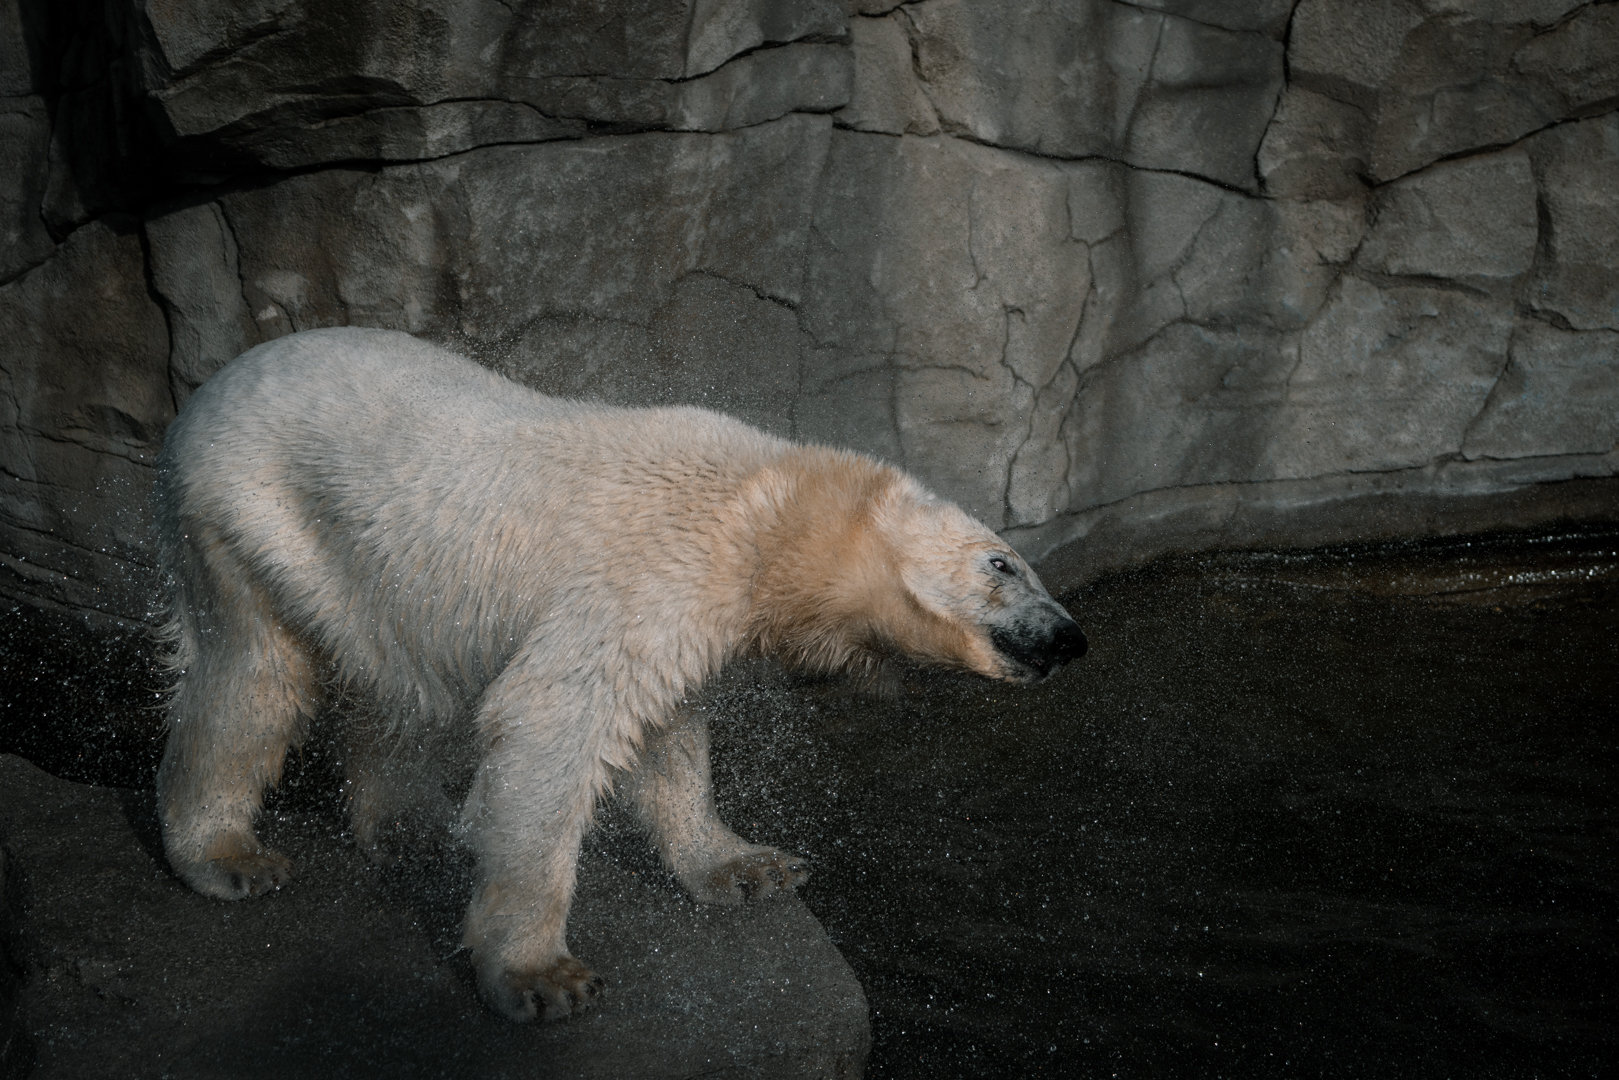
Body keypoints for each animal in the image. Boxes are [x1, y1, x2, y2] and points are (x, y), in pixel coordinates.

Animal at [153, 326, 1087, 1022]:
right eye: (1003, 564)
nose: (1069, 637)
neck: (767, 510)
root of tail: (212, 386)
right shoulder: (649, 575)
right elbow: (554, 726)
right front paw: (540, 976)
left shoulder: (695, 618)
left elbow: (666, 736)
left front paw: (744, 866)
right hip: (250, 517)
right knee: (251, 679)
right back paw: (228, 855)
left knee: (393, 683)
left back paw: (406, 822)